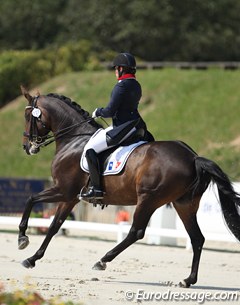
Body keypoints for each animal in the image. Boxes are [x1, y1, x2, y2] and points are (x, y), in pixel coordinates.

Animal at [19, 86, 240, 288]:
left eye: (28, 115)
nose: (27, 147)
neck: (74, 139)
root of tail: (193, 157)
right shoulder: (70, 197)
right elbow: (54, 226)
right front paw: (32, 259)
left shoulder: (63, 190)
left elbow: (30, 199)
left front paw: (22, 239)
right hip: (184, 204)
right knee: (197, 238)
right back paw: (188, 280)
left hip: (148, 199)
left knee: (136, 232)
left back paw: (102, 260)